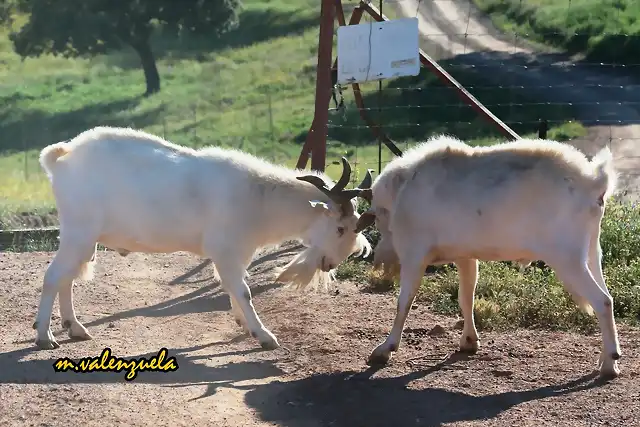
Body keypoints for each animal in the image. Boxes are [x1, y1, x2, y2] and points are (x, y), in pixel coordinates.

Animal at [35, 126, 372, 352]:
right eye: (340, 228)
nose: (329, 264)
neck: (259, 196)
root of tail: (61, 158)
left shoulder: (237, 253)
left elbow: (235, 288)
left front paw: (243, 324)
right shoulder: (225, 250)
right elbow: (243, 291)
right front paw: (264, 336)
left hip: (84, 238)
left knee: (67, 277)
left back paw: (75, 328)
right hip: (79, 231)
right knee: (53, 276)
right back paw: (44, 336)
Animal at [352, 135, 624, 380]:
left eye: (379, 219)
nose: (380, 258)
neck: (404, 190)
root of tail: (593, 181)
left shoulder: (413, 255)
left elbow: (404, 302)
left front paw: (384, 349)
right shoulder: (465, 257)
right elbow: (466, 297)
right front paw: (469, 341)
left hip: (567, 259)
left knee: (602, 301)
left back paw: (609, 365)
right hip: (590, 254)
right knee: (606, 295)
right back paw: (606, 358)